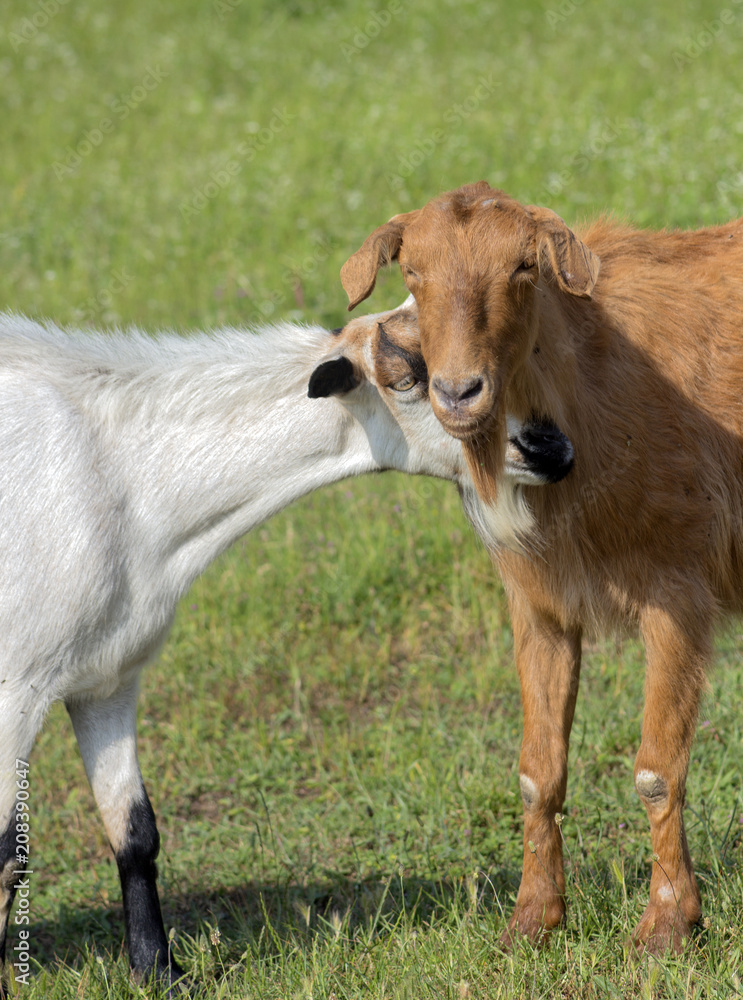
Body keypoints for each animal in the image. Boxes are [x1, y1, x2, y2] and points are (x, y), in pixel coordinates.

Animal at [0, 305, 573, 991]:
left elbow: (134, 831)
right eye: (407, 380)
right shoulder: (17, 685)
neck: (123, 479)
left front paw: (161, 973)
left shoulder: (108, 678)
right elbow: (4, 857)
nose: (549, 447)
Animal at [340, 181, 743, 956]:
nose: (458, 392)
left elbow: (657, 769)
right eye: (413, 271)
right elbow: (536, 774)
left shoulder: (677, 592)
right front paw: (531, 919)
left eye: (522, 268)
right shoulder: (539, 605)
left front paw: (666, 927)